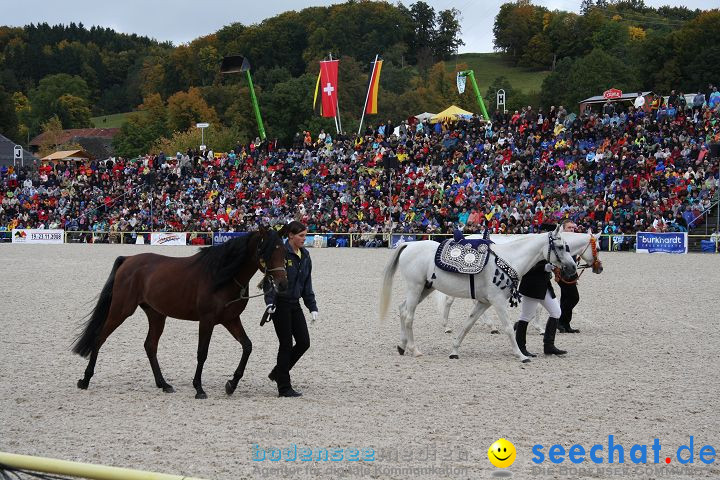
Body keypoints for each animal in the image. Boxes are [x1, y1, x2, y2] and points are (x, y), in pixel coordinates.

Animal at [71, 227, 288, 400]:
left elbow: (247, 346)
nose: (282, 284)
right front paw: (199, 388)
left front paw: (231, 384)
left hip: (156, 315)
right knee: (99, 338)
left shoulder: (231, 320)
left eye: (284, 251)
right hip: (120, 311)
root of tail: (129, 260)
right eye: (267, 251)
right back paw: (85, 379)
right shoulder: (207, 320)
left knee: (150, 346)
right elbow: (202, 353)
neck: (221, 276)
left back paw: (164, 384)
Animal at [380, 227, 576, 362]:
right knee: (408, 316)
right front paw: (521, 355)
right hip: (415, 288)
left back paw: (402, 345)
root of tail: (409, 245)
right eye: (560, 246)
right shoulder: (498, 302)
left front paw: (454, 351)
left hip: (425, 289)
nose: (573, 268)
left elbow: (468, 324)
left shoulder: (484, 302)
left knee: (402, 309)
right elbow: (508, 328)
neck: (508, 259)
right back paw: (414, 350)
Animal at [436, 231, 604, 336]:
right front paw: (538, 327)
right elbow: (537, 306)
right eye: (598, 248)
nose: (600, 268)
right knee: (449, 301)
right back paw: (446, 327)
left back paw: (491, 326)